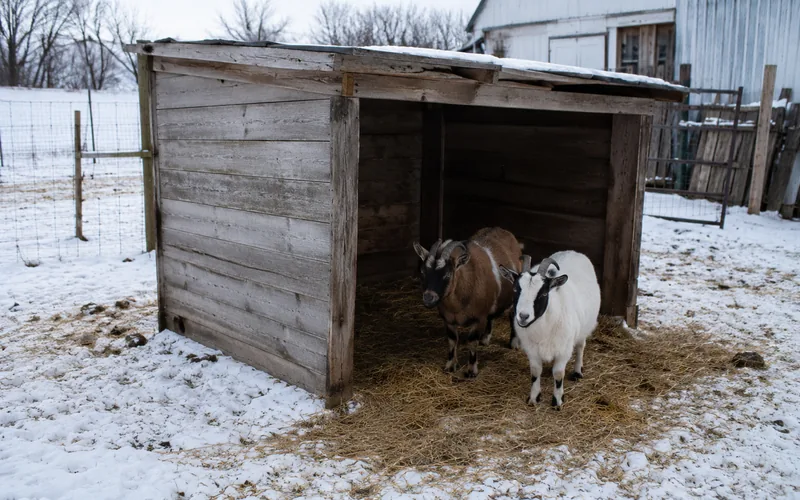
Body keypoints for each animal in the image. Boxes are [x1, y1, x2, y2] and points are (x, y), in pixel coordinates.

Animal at [413, 227, 524, 377]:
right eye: (423, 272)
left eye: (447, 274)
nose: (429, 297)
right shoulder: (448, 319)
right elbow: (452, 340)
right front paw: (450, 366)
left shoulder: (479, 318)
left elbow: (471, 342)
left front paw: (471, 371)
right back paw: (486, 338)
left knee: (512, 314)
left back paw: (513, 342)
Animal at [500, 251, 601, 409]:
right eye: (515, 290)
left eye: (543, 294)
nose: (523, 316)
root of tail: (573, 252)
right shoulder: (532, 350)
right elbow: (535, 372)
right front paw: (534, 397)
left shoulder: (564, 349)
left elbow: (558, 374)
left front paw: (557, 401)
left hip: (584, 327)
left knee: (580, 347)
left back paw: (578, 371)